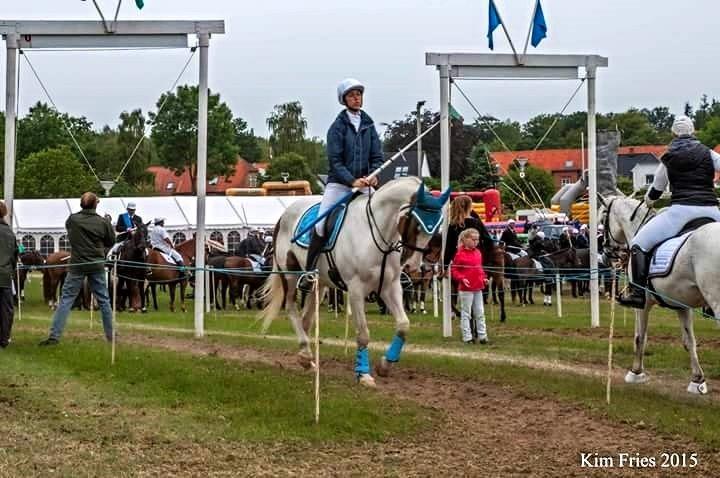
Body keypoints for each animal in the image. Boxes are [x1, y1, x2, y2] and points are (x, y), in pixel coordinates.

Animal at [262, 177, 448, 386]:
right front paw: (363, 374)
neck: (376, 234)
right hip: (290, 275)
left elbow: (403, 325)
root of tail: (284, 214)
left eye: (437, 228)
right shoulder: (356, 290)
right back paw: (306, 353)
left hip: (320, 285)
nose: (413, 267)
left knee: (306, 319)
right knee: (291, 307)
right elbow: (363, 334)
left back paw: (306, 359)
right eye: (416, 224)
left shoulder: (390, 287)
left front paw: (385, 365)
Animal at [600, 192, 720, 394]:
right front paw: (697, 380)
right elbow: (689, 341)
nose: (606, 253)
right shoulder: (682, 306)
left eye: (602, 219)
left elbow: (640, 337)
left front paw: (635, 372)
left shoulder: (643, 305)